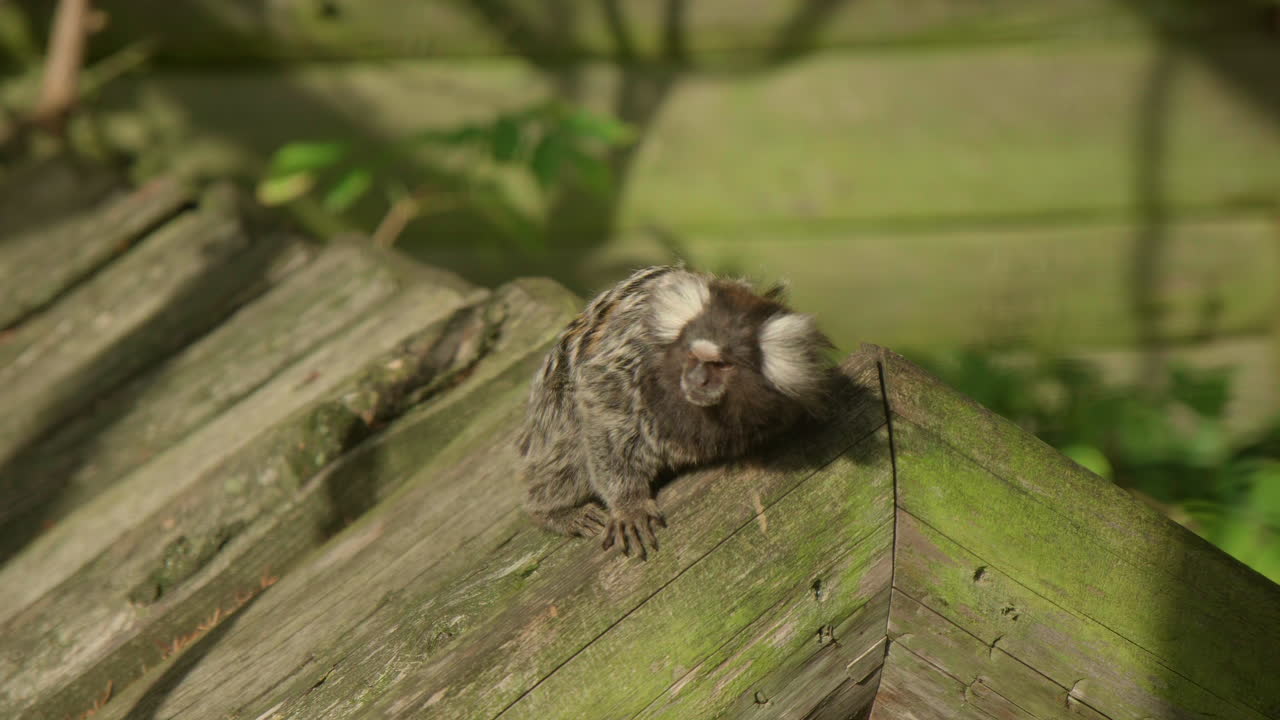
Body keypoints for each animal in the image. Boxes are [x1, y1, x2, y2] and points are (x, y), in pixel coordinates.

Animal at [516, 265, 833, 559]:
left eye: (721, 365)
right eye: (693, 356)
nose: (696, 379)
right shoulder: (635, 349)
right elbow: (600, 397)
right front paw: (628, 503)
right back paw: (552, 511)